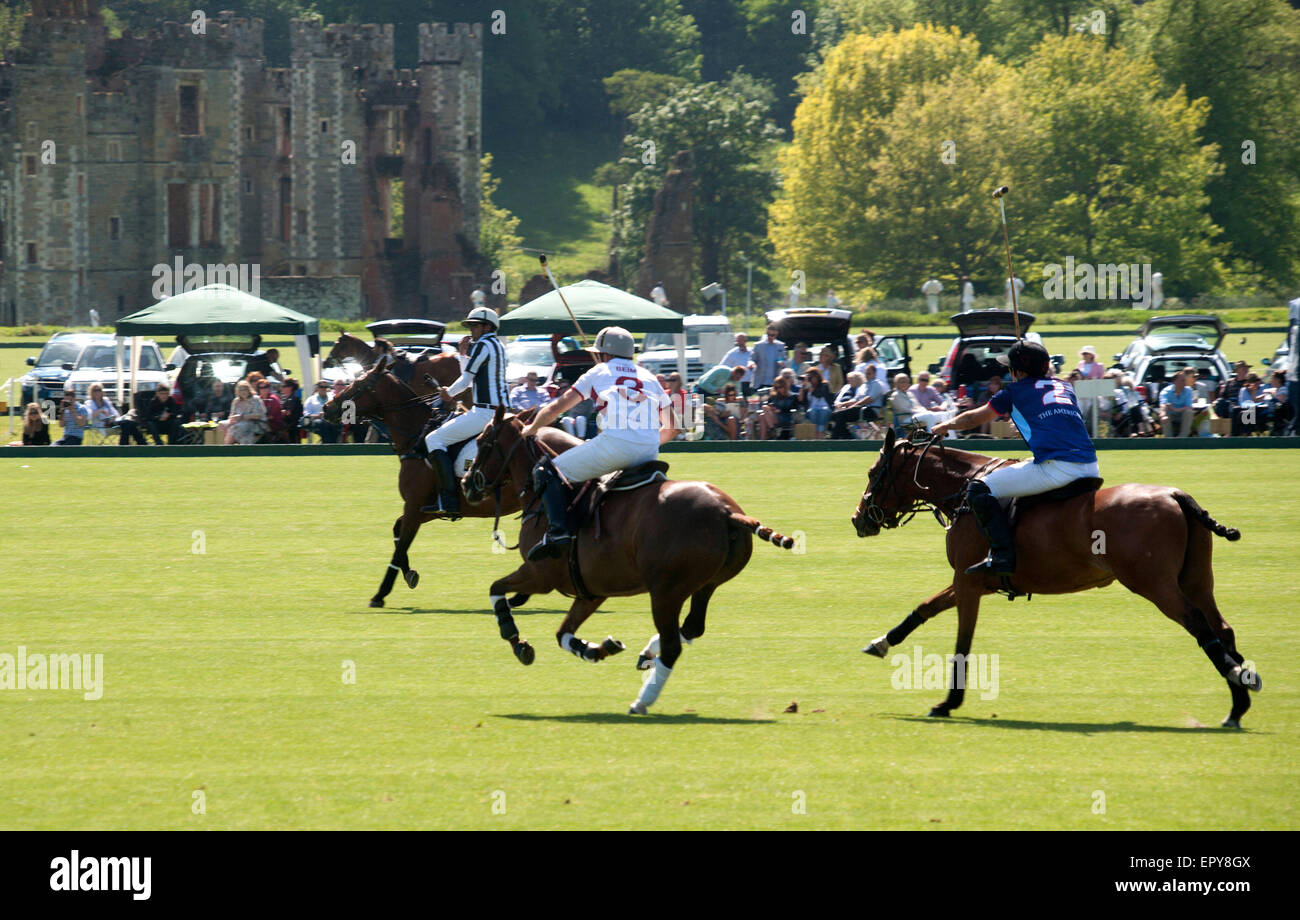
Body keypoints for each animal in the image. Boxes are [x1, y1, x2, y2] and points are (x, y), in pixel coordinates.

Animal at [322, 363, 525, 608]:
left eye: (360, 384)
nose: (327, 407)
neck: (416, 438)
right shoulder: (428, 509)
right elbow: (397, 531)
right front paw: (409, 574)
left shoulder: (414, 505)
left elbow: (401, 545)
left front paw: (380, 594)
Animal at [462, 405, 795, 717]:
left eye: (482, 442)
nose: (466, 483)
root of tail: (728, 513)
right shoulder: (592, 590)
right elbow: (562, 633)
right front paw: (596, 649)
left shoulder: (540, 574)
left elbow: (496, 588)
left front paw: (516, 639)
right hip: (706, 584)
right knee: (691, 628)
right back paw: (647, 655)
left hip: (666, 591)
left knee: (673, 643)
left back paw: (641, 701)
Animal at [852, 428, 1258, 727]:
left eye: (874, 473)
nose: (859, 519)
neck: (964, 490)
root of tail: (1176, 495)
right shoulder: (975, 580)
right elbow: (925, 606)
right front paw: (881, 642)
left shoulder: (969, 583)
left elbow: (962, 642)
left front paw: (948, 702)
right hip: (1196, 579)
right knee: (1221, 627)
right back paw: (1238, 703)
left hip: (1154, 583)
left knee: (1199, 624)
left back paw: (1238, 681)